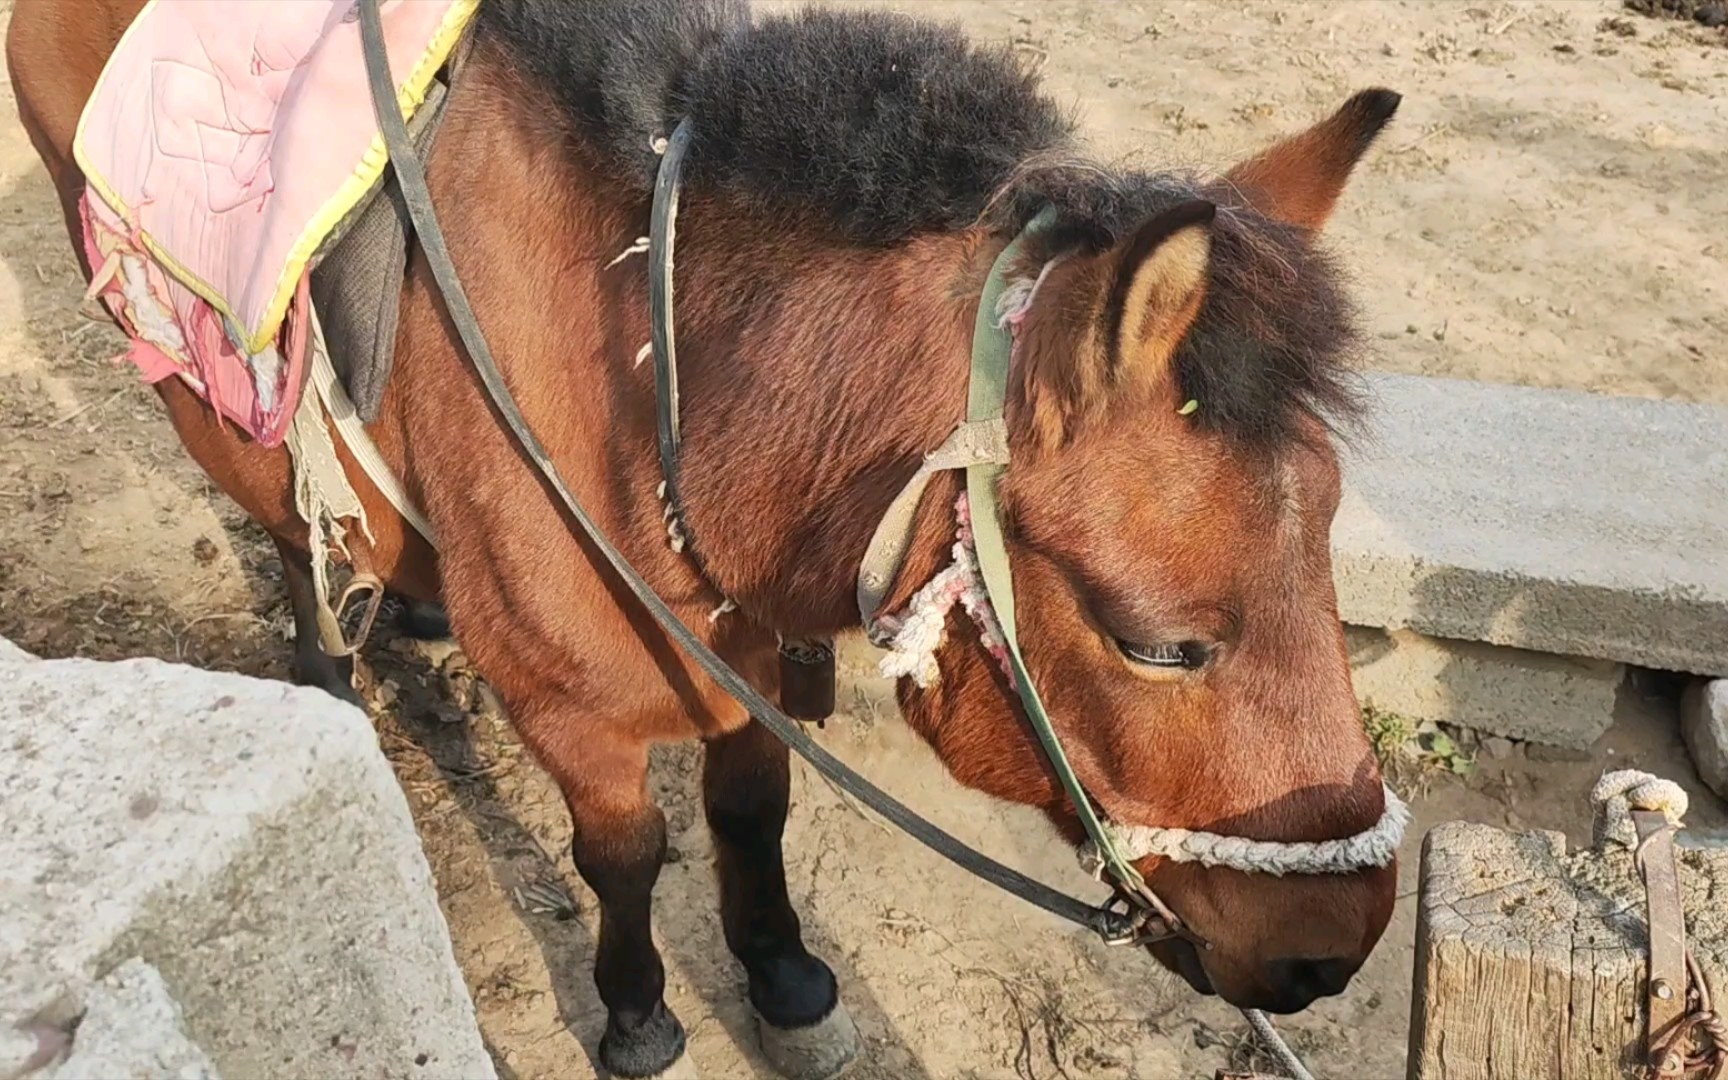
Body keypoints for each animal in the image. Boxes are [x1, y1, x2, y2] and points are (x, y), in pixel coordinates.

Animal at [10, 2, 1403, 1071]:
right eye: (1159, 644)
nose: (1334, 949)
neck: (642, 354)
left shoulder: (744, 643)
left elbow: (751, 807)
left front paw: (783, 975)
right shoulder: (574, 706)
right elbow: (625, 854)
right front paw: (637, 1013)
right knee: (281, 518)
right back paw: (327, 654)